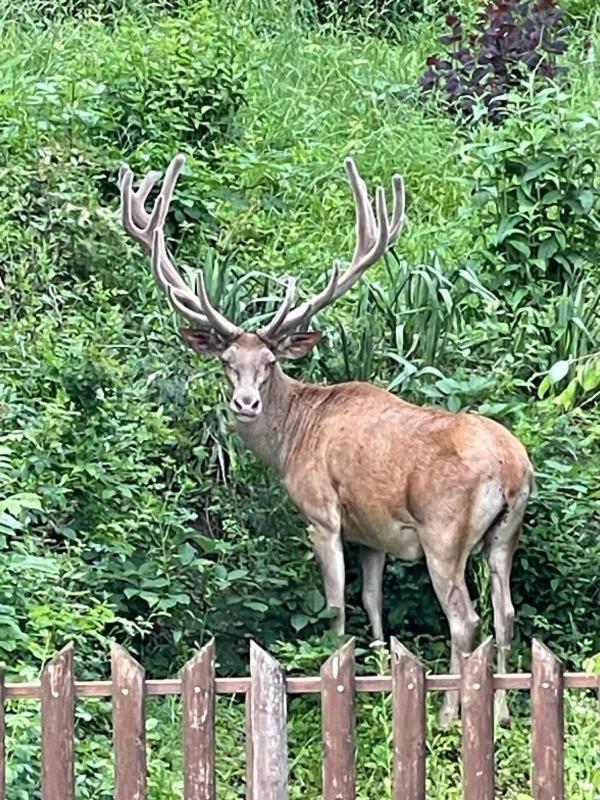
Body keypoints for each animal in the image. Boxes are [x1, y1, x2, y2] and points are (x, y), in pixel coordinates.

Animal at [118, 152, 536, 724]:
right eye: (227, 362)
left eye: (269, 363)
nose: (244, 404)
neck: (296, 433)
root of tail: (512, 467)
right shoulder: (374, 534)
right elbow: (373, 602)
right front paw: (380, 676)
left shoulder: (321, 511)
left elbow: (336, 605)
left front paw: (333, 679)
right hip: (505, 534)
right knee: (504, 613)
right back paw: (500, 712)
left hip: (443, 531)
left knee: (465, 619)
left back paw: (453, 712)